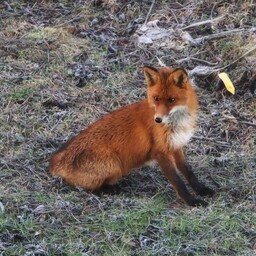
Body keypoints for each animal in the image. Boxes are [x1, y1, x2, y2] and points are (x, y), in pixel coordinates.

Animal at [50, 65, 214, 206]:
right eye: (155, 98)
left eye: (171, 100)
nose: (158, 119)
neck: (176, 124)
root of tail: (55, 161)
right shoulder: (160, 152)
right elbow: (178, 181)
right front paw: (191, 201)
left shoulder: (176, 145)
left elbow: (188, 172)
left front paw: (201, 189)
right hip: (114, 165)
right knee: (90, 188)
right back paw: (112, 189)